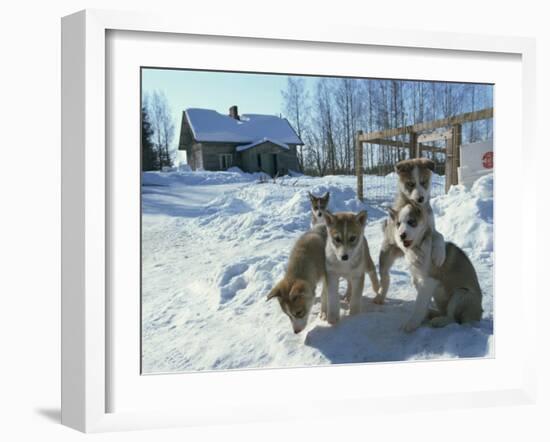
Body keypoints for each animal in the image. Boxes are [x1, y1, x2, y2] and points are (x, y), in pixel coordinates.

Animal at [376, 159, 448, 308]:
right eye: (410, 184)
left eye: (424, 182)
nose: (420, 198)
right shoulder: (398, 231)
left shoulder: (431, 228)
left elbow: (440, 236)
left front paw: (439, 256)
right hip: (386, 255)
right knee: (385, 278)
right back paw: (380, 296)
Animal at [390, 201, 486, 332]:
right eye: (398, 224)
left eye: (411, 222)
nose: (401, 235)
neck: (418, 248)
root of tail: (479, 315)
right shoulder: (418, 280)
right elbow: (422, 303)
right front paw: (421, 318)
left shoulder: (429, 281)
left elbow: (419, 305)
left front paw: (411, 324)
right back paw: (432, 314)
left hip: (461, 293)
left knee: (454, 319)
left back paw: (439, 321)